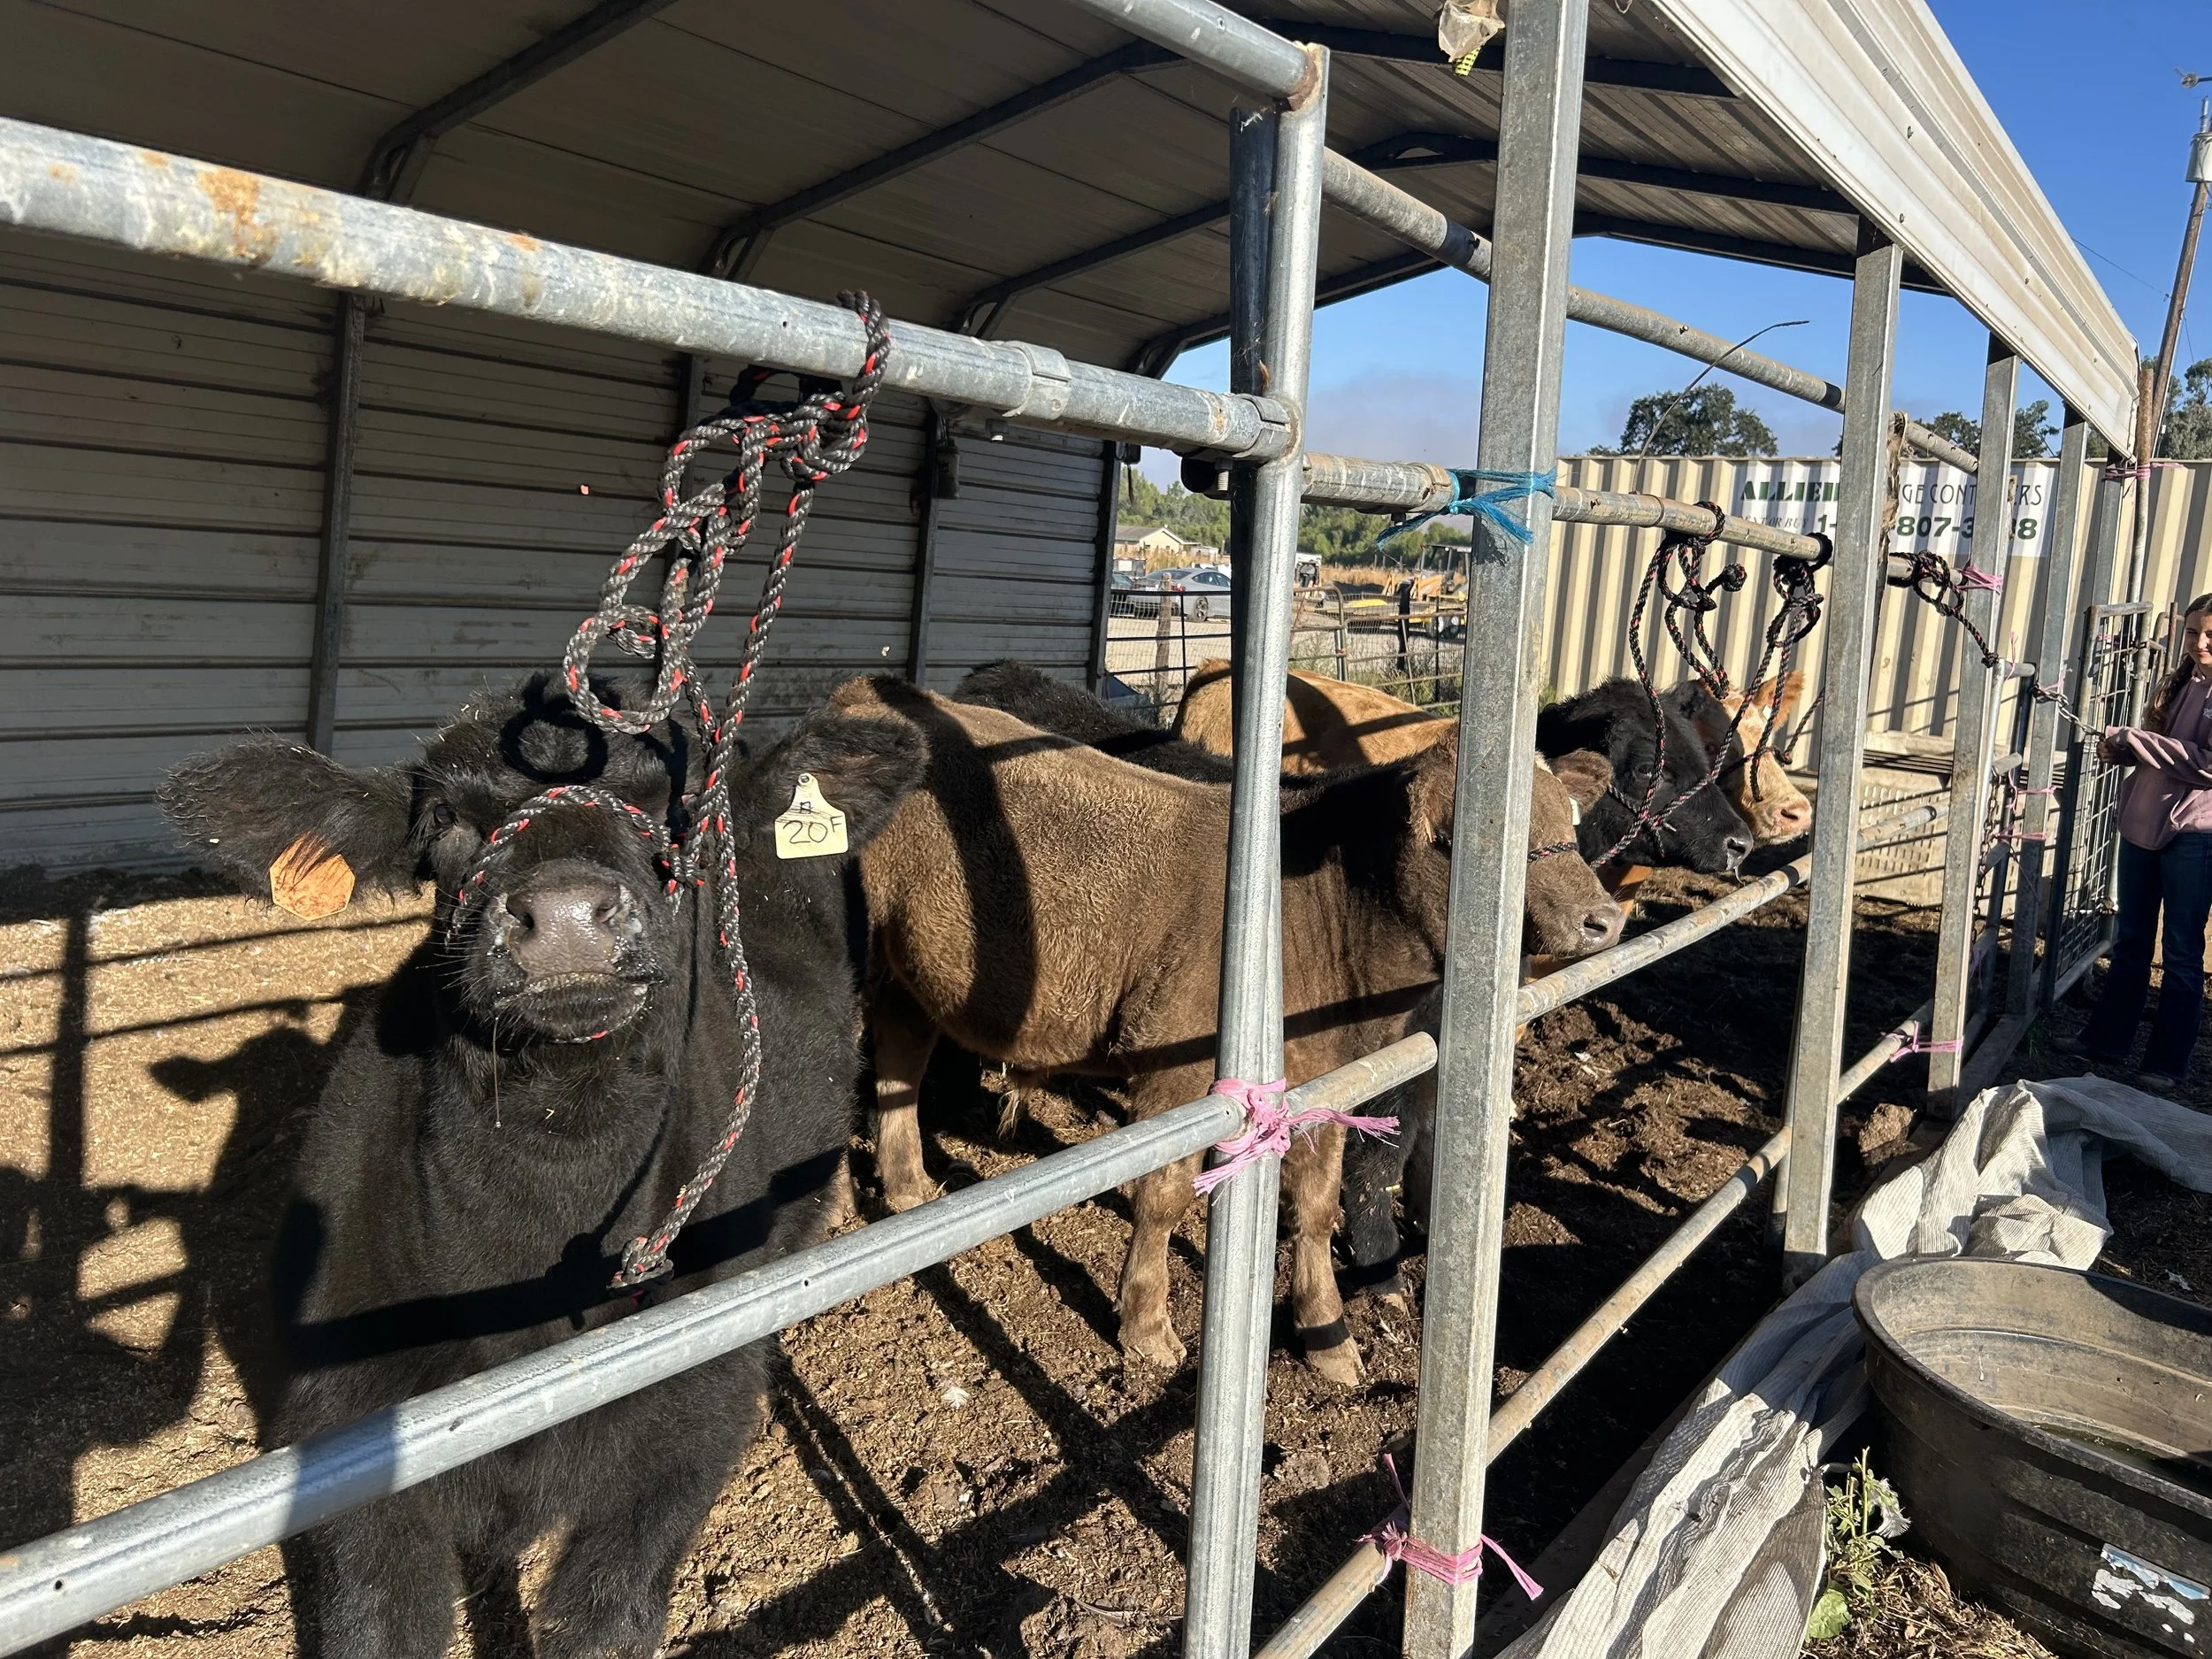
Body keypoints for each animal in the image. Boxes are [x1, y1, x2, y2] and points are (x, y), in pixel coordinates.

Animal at [160, 673, 923, 1659]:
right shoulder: (342, 1427)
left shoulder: (695, 1407)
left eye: (680, 809)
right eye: (445, 819)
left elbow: (605, 1618)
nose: (563, 919)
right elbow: (378, 1623)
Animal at [835, 674, 1491, 1384]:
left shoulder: (1323, 1081)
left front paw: (1331, 1339)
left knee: (902, 1052)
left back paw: (909, 1186)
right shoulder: (1174, 1067)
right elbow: (1164, 1193)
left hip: (910, 968)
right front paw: (1147, 1326)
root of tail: (868, 689)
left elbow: (1316, 1202)